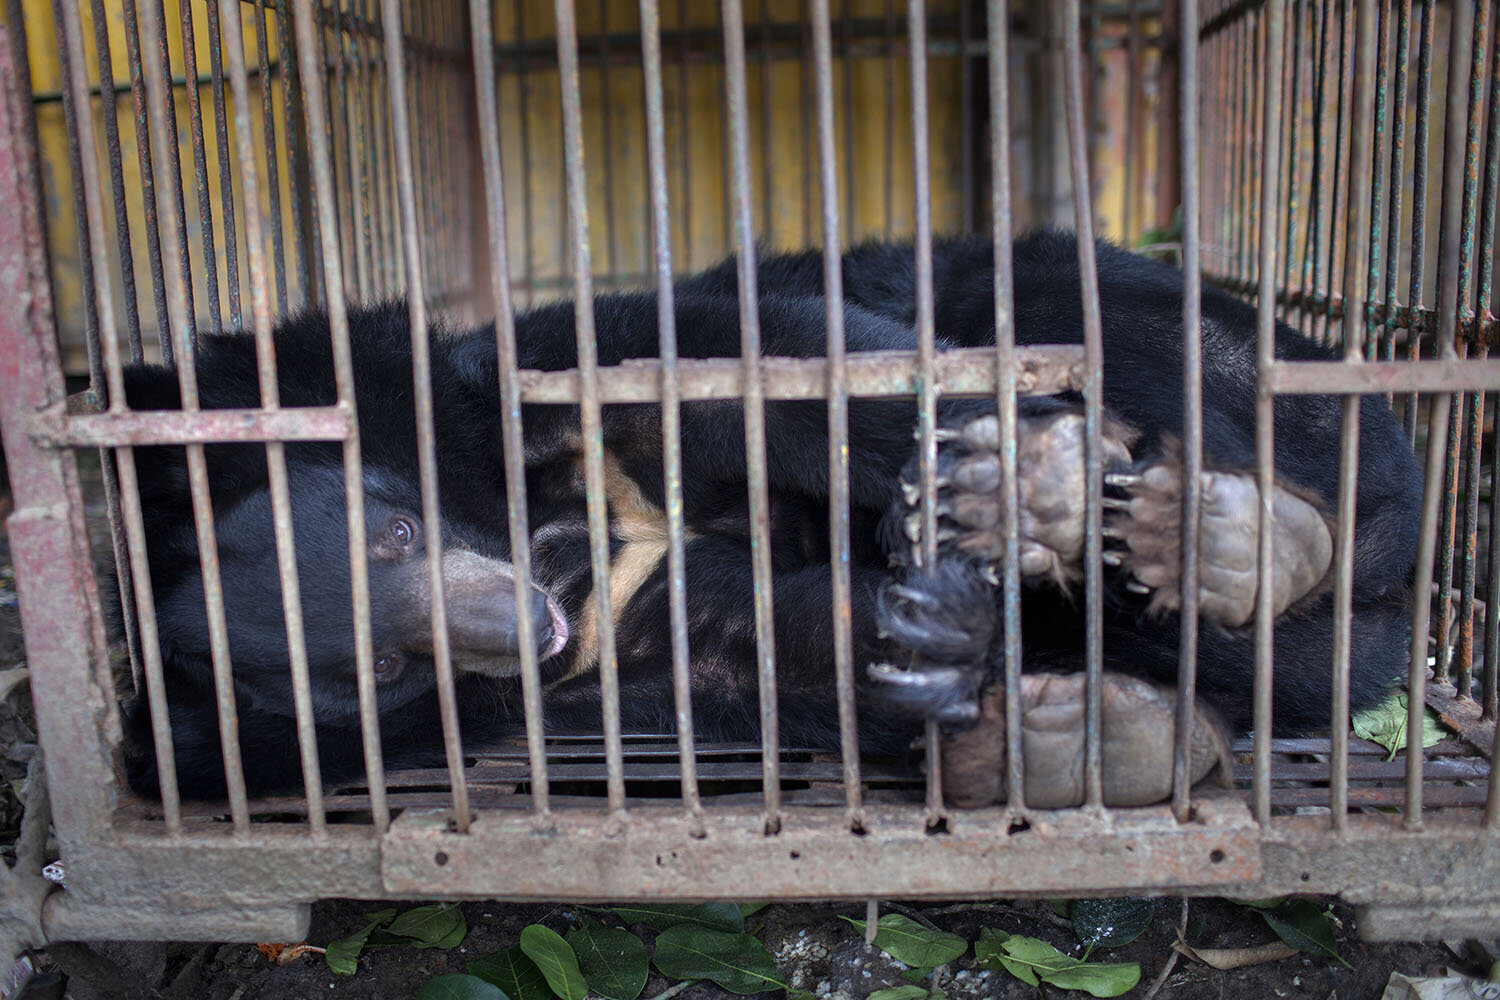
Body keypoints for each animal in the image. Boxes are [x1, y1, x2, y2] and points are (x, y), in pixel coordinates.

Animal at [117, 232, 1416, 803]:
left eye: (391, 531)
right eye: (382, 667)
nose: (522, 625)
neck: (547, 532)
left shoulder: (525, 379)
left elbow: (773, 359)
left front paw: (1008, 474)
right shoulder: (624, 651)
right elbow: (772, 639)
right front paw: (924, 636)